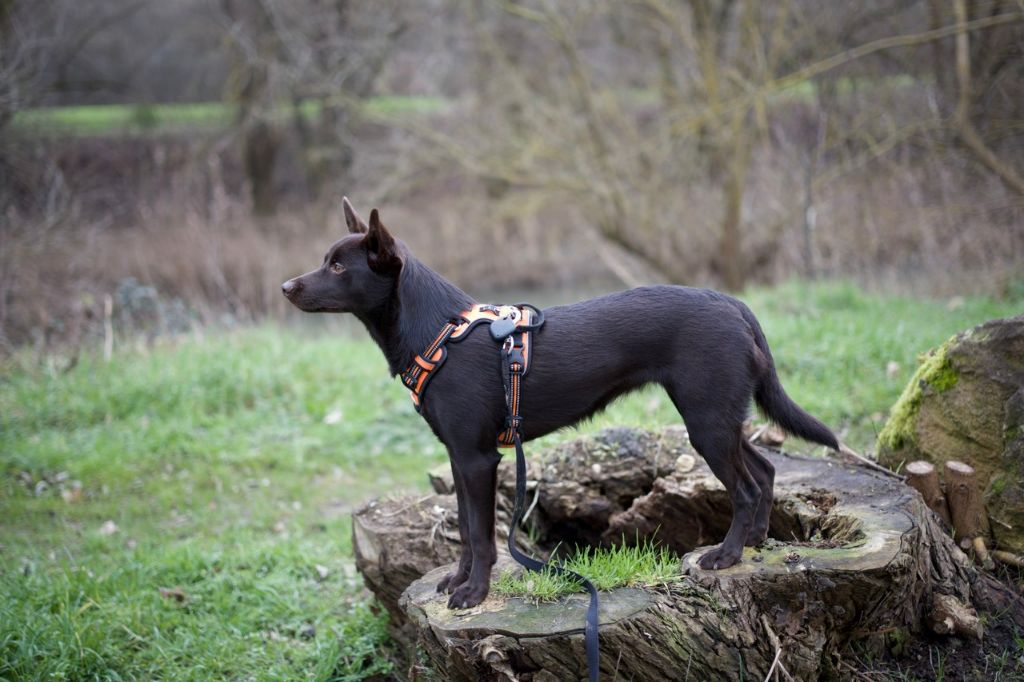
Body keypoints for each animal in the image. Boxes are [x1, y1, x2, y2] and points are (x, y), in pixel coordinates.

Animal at [282, 196, 839, 606]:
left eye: (338, 266)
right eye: (325, 261)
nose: (286, 286)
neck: (439, 332)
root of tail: (733, 305)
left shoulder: (478, 459)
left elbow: (481, 535)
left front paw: (474, 593)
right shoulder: (459, 458)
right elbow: (463, 527)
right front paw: (457, 582)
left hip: (706, 421)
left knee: (744, 487)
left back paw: (726, 555)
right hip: (721, 417)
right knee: (765, 470)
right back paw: (757, 541)